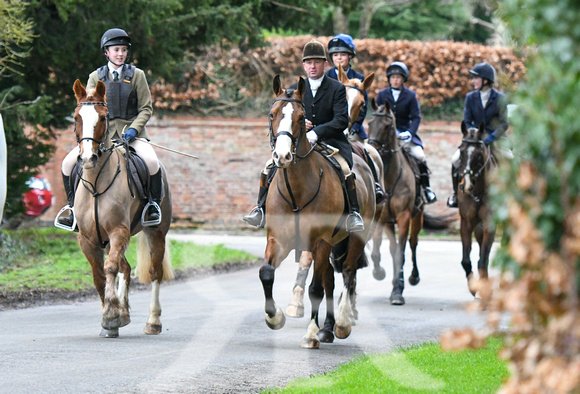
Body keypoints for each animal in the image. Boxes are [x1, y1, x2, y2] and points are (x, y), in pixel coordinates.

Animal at [69, 79, 171, 336]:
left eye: (103, 117)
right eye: (76, 117)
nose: (88, 159)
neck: (96, 183)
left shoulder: (119, 231)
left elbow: (110, 268)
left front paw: (111, 316)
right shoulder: (88, 239)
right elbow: (99, 275)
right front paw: (112, 316)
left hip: (156, 233)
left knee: (155, 273)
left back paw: (153, 322)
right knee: (125, 267)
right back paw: (124, 311)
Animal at [260, 75, 376, 350]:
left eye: (302, 117)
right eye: (272, 114)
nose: (282, 156)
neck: (296, 188)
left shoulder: (320, 242)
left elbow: (315, 289)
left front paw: (311, 334)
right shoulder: (278, 239)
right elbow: (266, 273)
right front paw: (274, 317)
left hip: (355, 237)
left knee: (348, 273)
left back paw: (342, 323)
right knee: (331, 281)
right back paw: (328, 329)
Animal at [284, 66, 386, 318]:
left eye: (362, 104)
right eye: (344, 96)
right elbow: (307, 258)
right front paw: (297, 299)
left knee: (353, 262)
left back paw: (349, 306)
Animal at [370, 97, 424, 304]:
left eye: (387, 125)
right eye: (369, 122)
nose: (373, 148)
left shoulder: (404, 216)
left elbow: (401, 252)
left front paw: (397, 291)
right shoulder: (383, 218)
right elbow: (378, 248)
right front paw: (379, 272)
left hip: (417, 216)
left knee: (413, 243)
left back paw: (413, 277)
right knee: (393, 248)